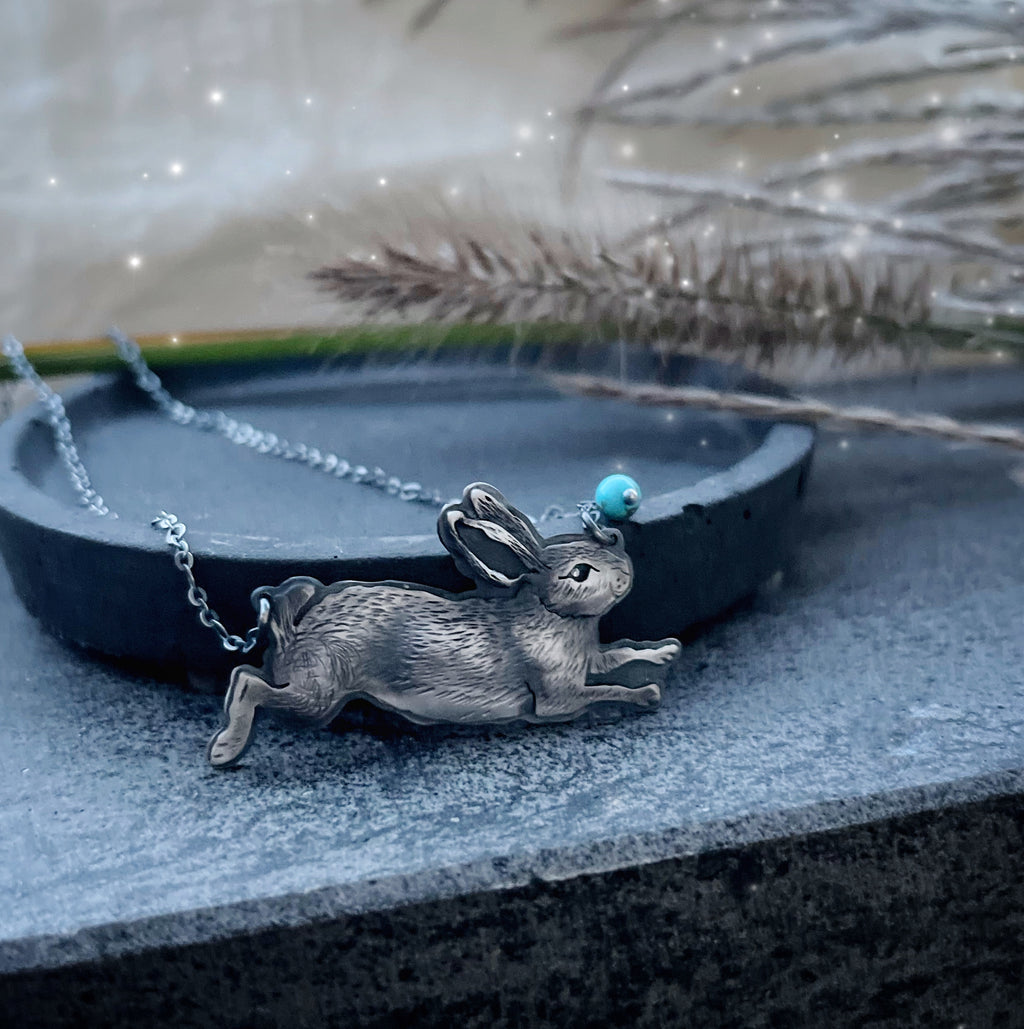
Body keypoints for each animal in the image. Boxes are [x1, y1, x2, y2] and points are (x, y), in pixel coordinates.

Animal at [207, 482, 681, 767]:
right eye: (580, 573)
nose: (626, 572)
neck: (551, 615)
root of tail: (295, 634)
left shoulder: (589, 658)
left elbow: (621, 653)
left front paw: (666, 652)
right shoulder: (556, 696)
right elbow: (605, 689)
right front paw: (647, 693)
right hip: (317, 693)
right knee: (248, 682)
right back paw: (224, 750)